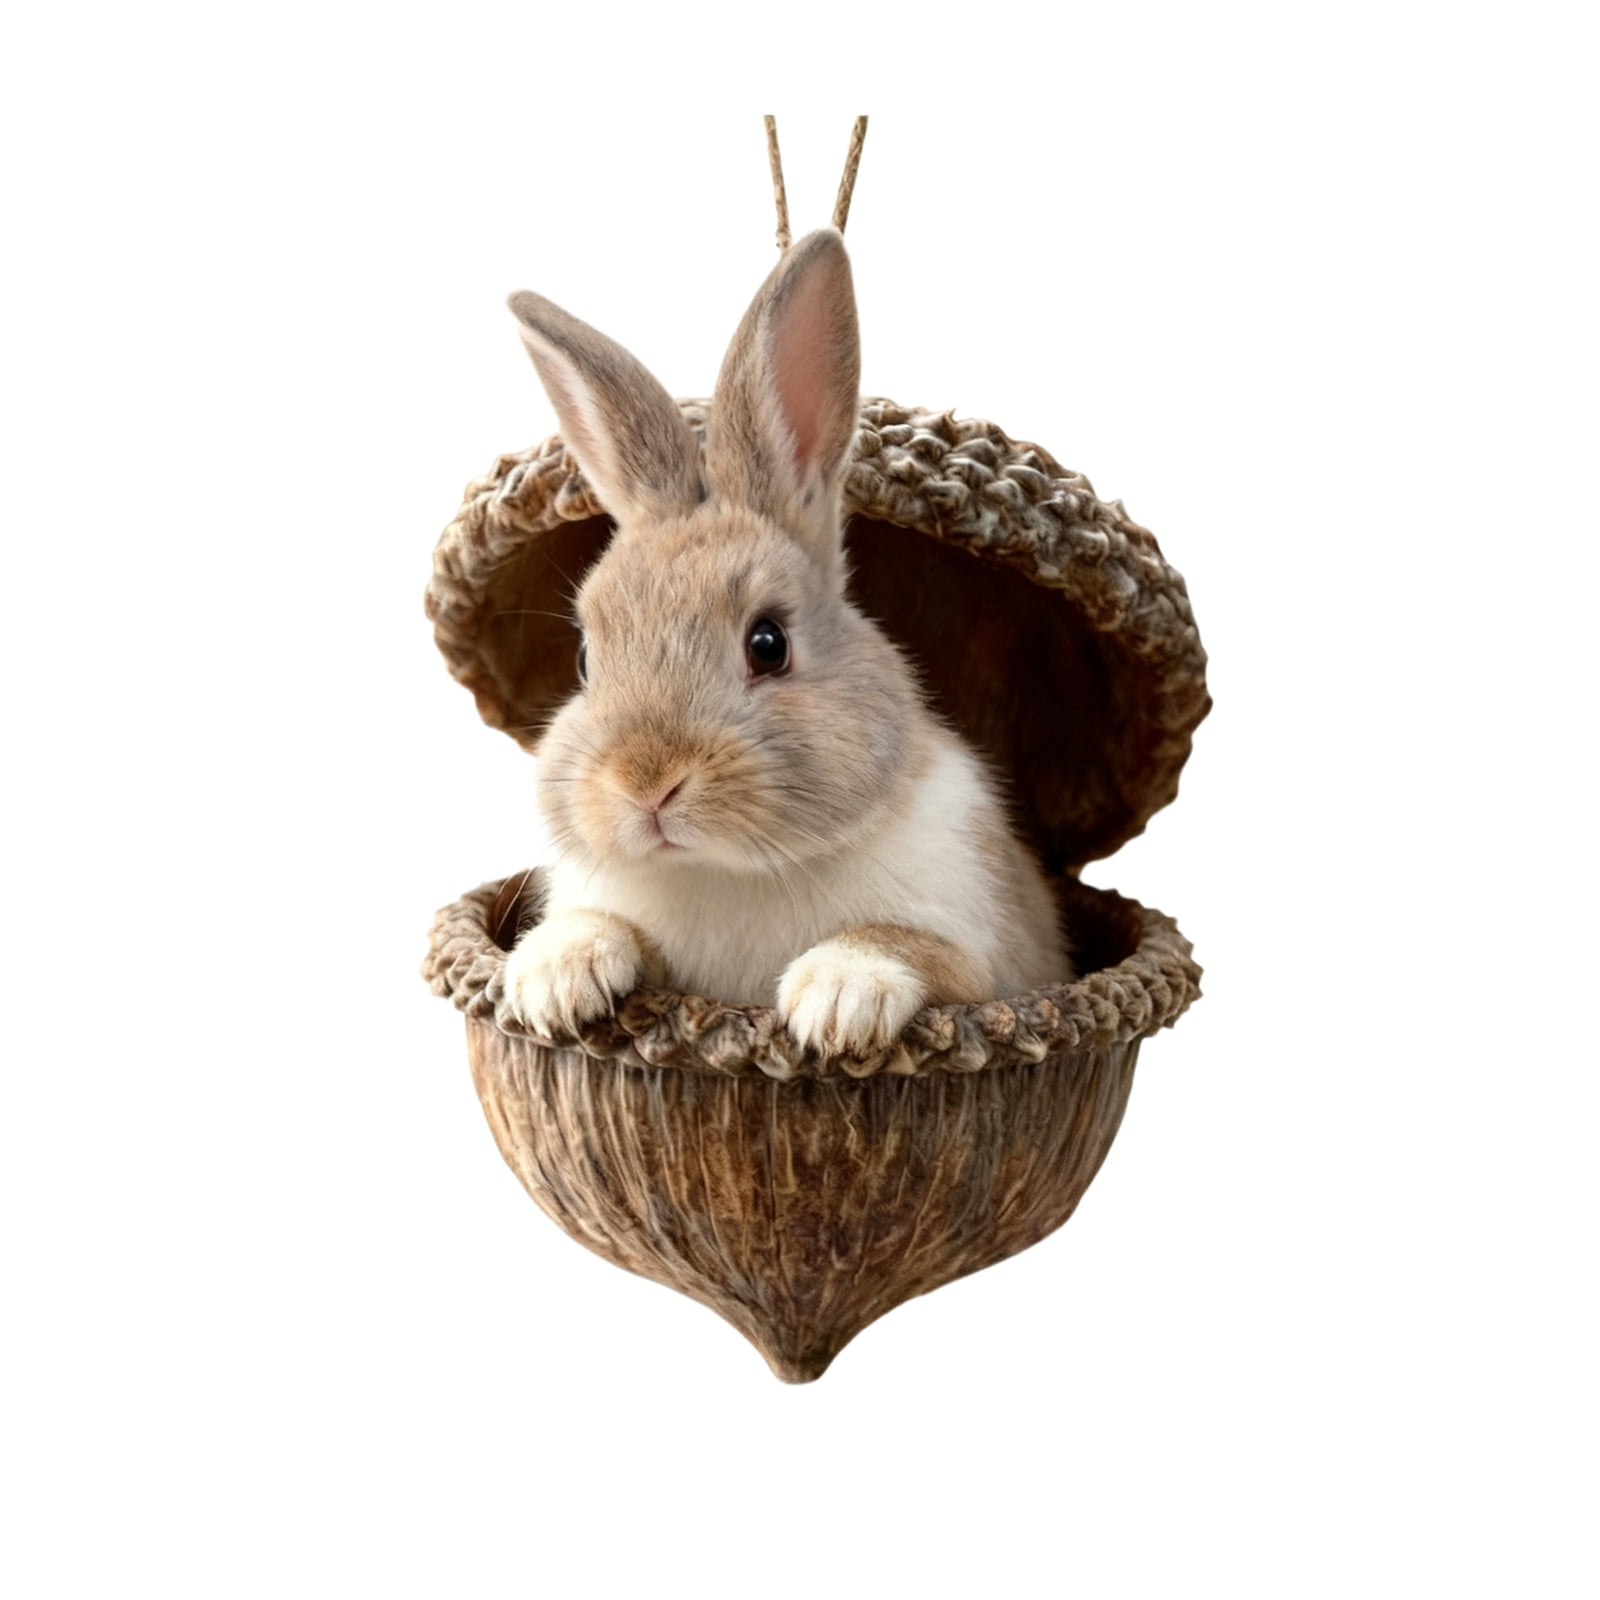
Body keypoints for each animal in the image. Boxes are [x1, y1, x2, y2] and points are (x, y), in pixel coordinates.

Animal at [501, 228, 1071, 1057]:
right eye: (584, 659)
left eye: (768, 643)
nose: (646, 785)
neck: (732, 869)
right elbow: (602, 923)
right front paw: (552, 981)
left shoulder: (982, 956)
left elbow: (911, 946)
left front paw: (836, 1000)